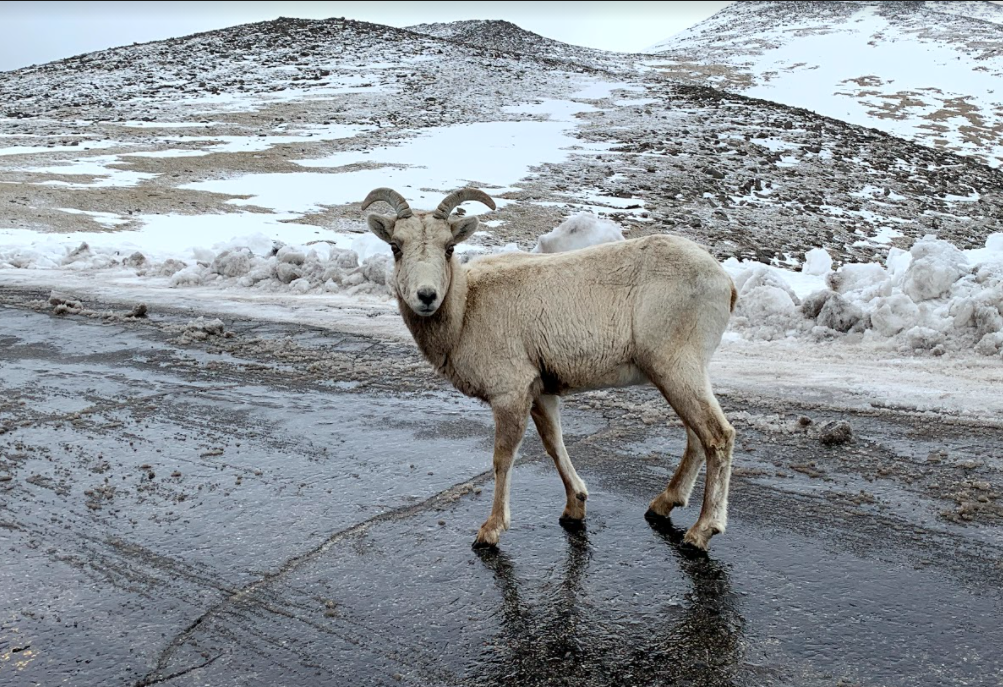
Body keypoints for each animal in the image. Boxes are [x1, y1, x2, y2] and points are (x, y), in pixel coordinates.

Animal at [361, 186, 738, 545]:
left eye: (449, 248)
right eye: (396, 246)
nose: (426, 296)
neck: (466, 308)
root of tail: (725, 283)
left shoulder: (510, 393)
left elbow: (502, 458)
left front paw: (491, 531)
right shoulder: (541, 392)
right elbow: (554, 445)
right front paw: (574, 508)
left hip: (676, 368)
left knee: (717, 435)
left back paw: (702, 531)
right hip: (677, 374)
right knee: (695, 436)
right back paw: (663, 504)